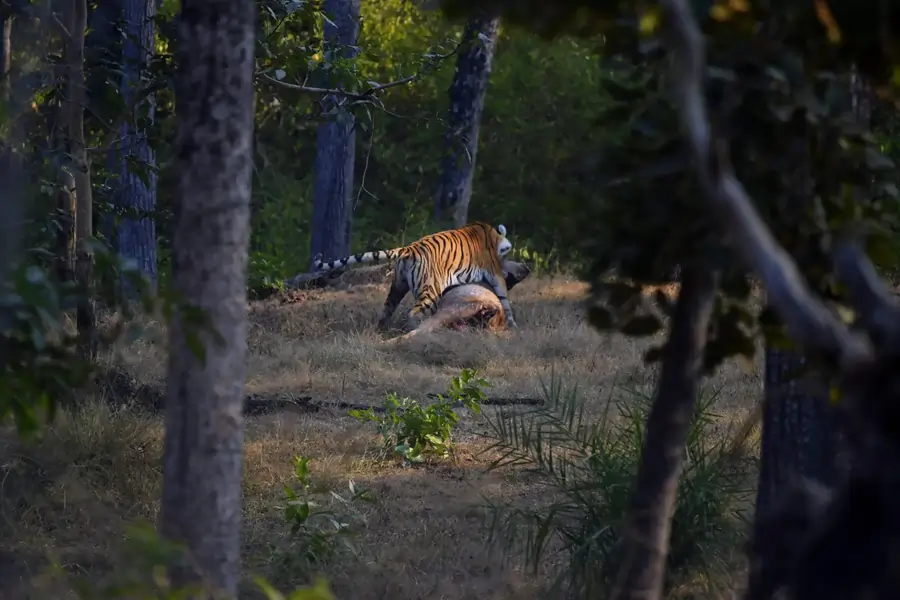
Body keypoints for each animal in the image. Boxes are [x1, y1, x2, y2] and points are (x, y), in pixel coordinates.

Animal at [313, 222, 518, 330]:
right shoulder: (495, 273)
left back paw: (381, 330)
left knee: (387, 309)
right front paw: (512, 324)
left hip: (397, 286)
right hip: (431, 291)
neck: (492, 235)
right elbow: (505, 299)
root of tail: (409, 249)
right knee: (414, 313)